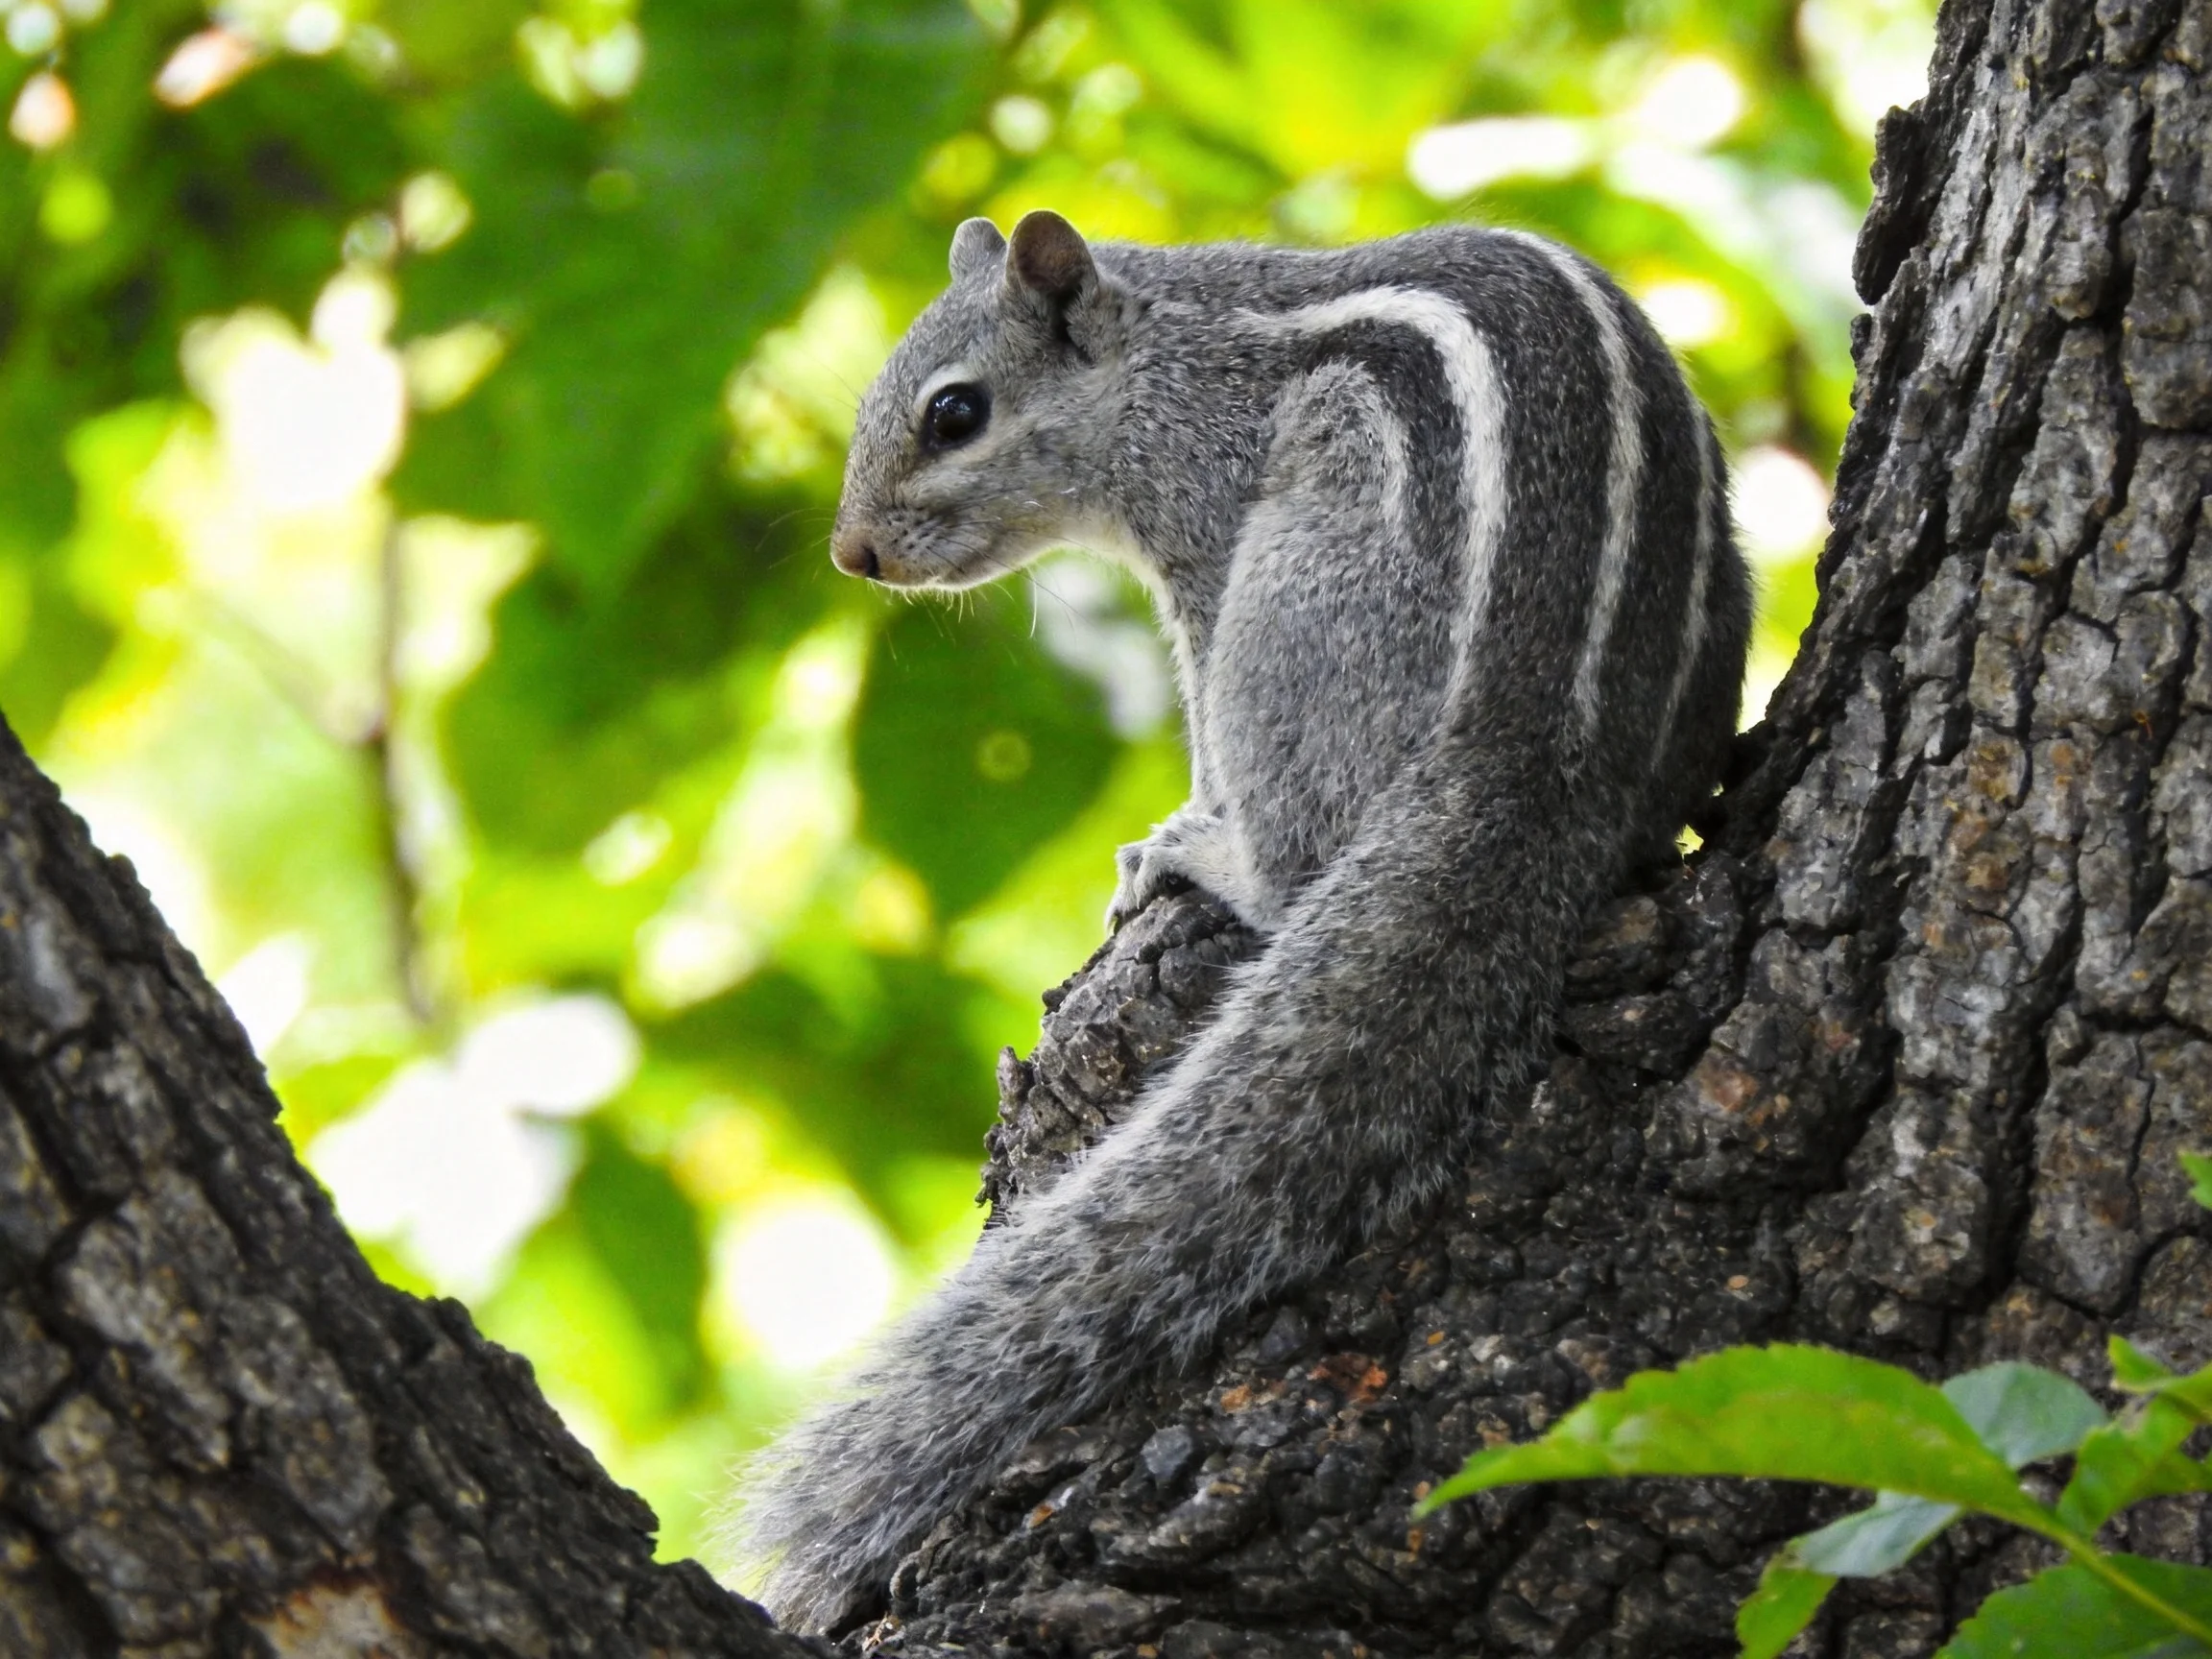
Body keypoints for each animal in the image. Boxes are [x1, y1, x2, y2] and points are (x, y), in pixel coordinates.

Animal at [729, 210, 1752, 1632]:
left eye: (954, 413)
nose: (853, 556)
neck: (1167, 343)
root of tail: (1546, 759)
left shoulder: (1204, 533)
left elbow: (1201, 696)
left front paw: (1187, 812)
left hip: (1304, 598)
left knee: (1301, 837)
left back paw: (1211, 857)